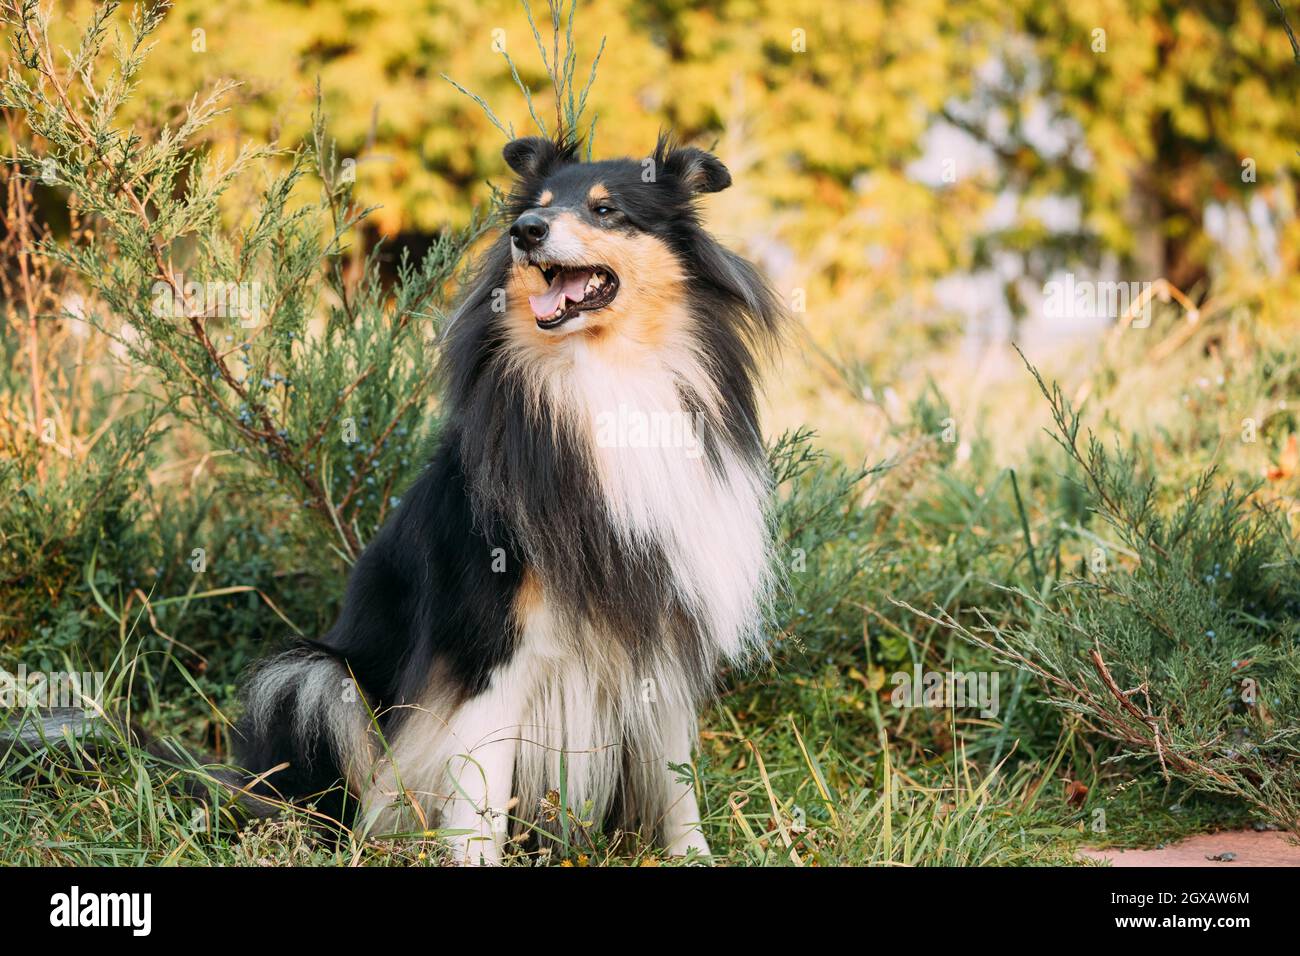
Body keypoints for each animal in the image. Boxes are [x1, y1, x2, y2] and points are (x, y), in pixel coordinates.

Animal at [233, 136, 780, 868]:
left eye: (606, 209)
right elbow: (479, 800)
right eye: (538, 206)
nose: (527, 232)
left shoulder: (661, 625)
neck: (603, 380)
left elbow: (676, 780)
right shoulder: (492, 652)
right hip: (313, 678)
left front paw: (694, 856)